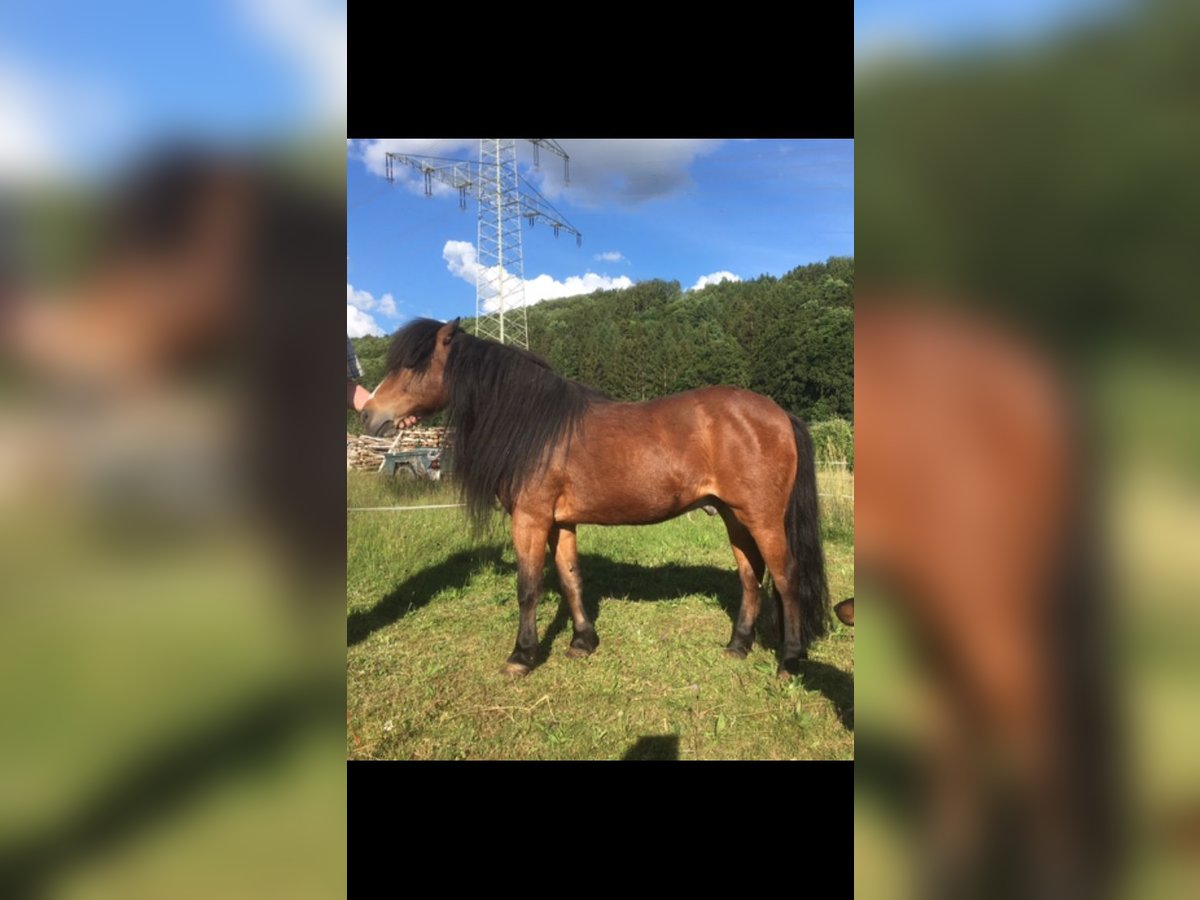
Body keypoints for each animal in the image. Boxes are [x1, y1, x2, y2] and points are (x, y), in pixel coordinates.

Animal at [360, 316, 830, 676]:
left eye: (414, 366)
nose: (367, 414)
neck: (534, 427)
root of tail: (779, 413)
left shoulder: (530, 519)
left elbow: (528, 586)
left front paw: (522, 656)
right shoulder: (560, 521)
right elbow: (571, 579)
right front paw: (583, 641)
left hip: (763, 517)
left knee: (785, 577)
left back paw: (790, 660)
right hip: (735, 516)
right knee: (751, 575)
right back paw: (738, 645)